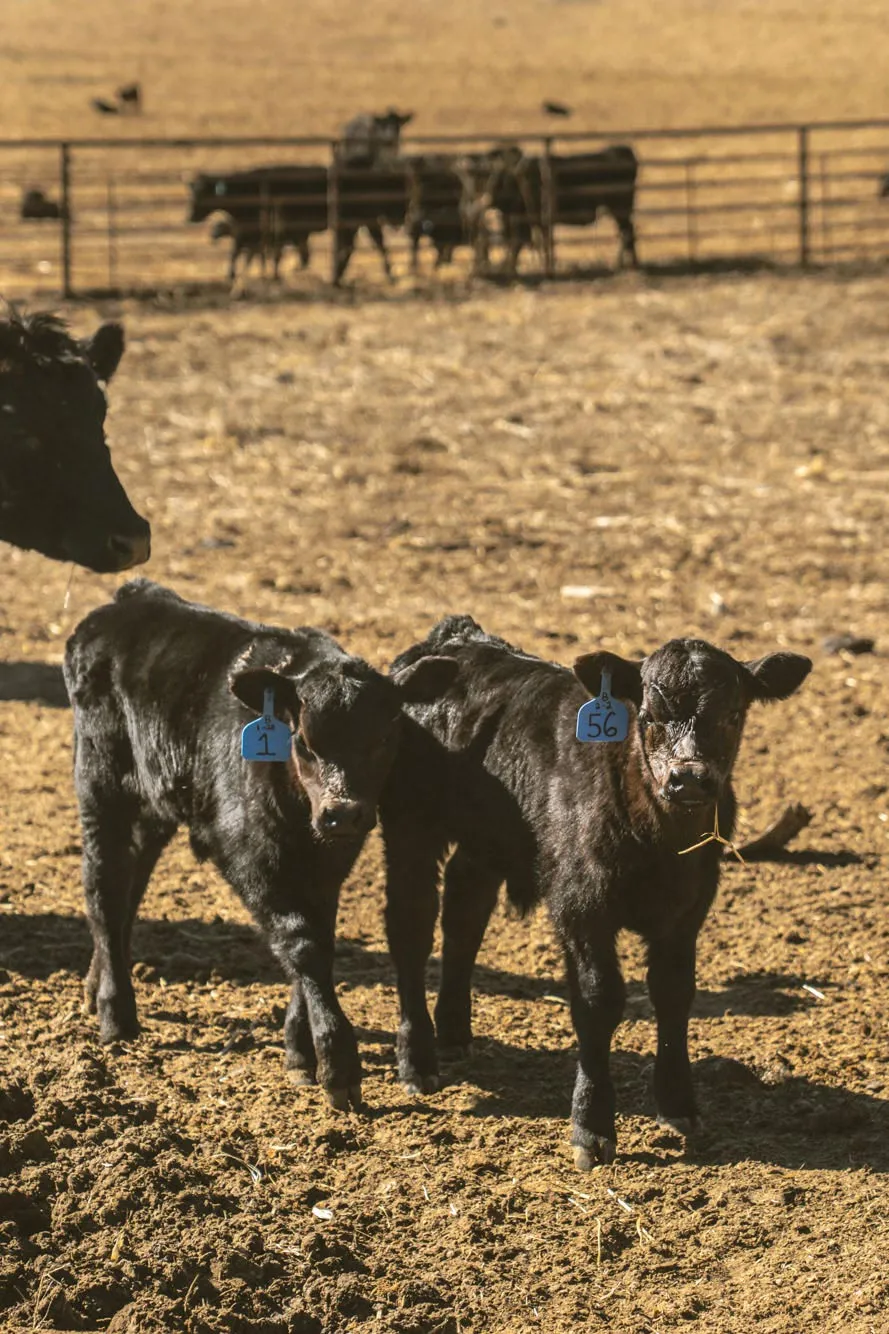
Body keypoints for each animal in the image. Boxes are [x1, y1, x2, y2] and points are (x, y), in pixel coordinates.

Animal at [63, 580, 457, 1109]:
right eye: (304, 741)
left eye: (384, 737)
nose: (342, 812)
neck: (298, 815)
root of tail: (133, 599)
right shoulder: (250, 857)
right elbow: (302, 944)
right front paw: (337, 1064)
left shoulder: (328, 864)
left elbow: (318, 939)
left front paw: (300, 1049)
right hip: (100, 783)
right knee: (103, 886)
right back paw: (116, 1014)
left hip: (153, 802)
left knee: (131, 884)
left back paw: (97, 984)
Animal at [379, 616, 811, 1166]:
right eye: (648, 715)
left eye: (733, 714)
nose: (689, 779)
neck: (660, 846)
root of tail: (453, 637)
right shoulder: (581, 906)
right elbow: (598, 1000)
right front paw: (592, 1124)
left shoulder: (688, 911)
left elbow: (674, 994)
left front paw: (678, 1104)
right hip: (409, 827)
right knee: (410, 925)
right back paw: (418, 1060)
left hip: (485, 838)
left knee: (464, 913)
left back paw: (455, 1034)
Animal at [464, 143, 640, 275]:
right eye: (478, 176)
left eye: (490, 173)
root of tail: (622, 150)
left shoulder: (525, 220)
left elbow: (517, 243)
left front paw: (507, 268)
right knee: (627, 232)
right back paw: (629, 263)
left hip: (620, 208)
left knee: (627, 232)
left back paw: (623, 264)